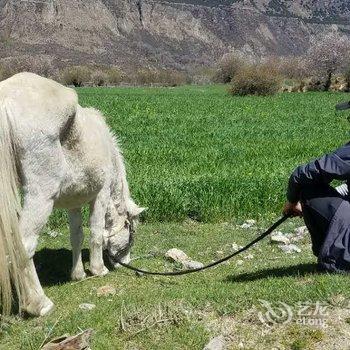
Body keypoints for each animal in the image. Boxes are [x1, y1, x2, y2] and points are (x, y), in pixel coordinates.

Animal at [0, 73, 145, 318]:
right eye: (130, 232)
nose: (123, 263)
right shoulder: (101, 195)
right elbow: (96, 232)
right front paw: (98, 269)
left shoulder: (73, 203)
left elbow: (76, 235)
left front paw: (77, 274)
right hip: (40, 196)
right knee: (24, 245)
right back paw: (39, 303)